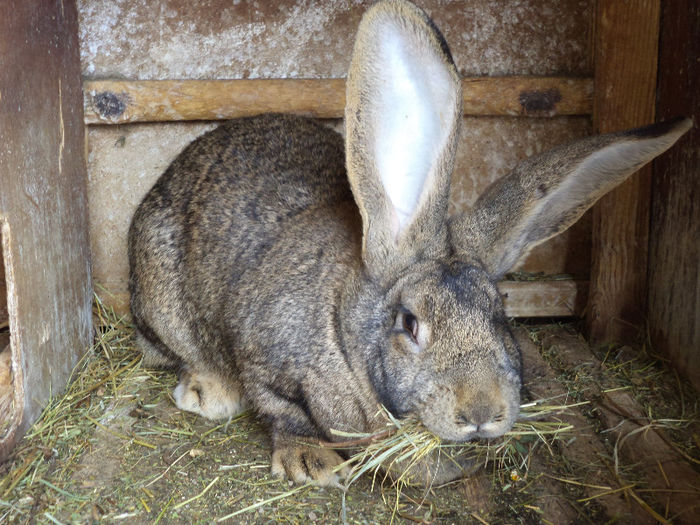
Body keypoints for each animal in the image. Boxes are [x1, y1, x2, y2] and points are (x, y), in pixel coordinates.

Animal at [129, 0, 692, 486]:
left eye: (501, 315)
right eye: (409, 323)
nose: (481, 411)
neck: (345, 334)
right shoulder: (264, 361)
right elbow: (285, 414)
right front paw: (312, 464)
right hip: (162, 299)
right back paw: (208, 393)